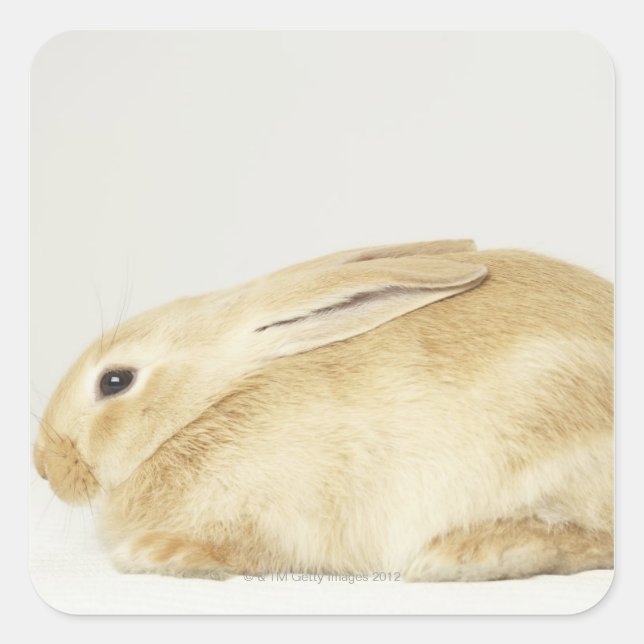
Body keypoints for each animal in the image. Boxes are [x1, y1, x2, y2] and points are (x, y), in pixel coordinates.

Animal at [33, 239, 613, 581]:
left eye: (115, 381)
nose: (43, 467)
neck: (204, 407)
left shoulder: (269, 515)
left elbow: (241, 551)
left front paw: (157, 554)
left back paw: (468, 555)